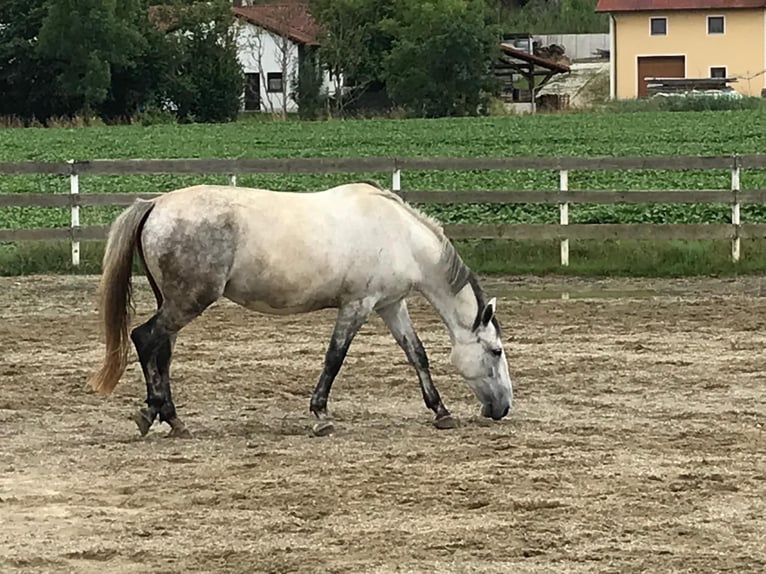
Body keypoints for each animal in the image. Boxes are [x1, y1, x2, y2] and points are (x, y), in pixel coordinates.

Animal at [87, 182, 512, 438]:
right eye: (496, 351)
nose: (503, 407)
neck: (401, 235)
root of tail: (156, 204)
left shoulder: (390, 305)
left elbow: (417, 354)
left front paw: (441, 411)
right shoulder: (357, 305)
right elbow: (334, 358)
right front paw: (321, 416)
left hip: (175, 303)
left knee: (162, 350)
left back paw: (172, 418)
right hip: (187, 302)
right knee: (144, 338)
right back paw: (153, 413)